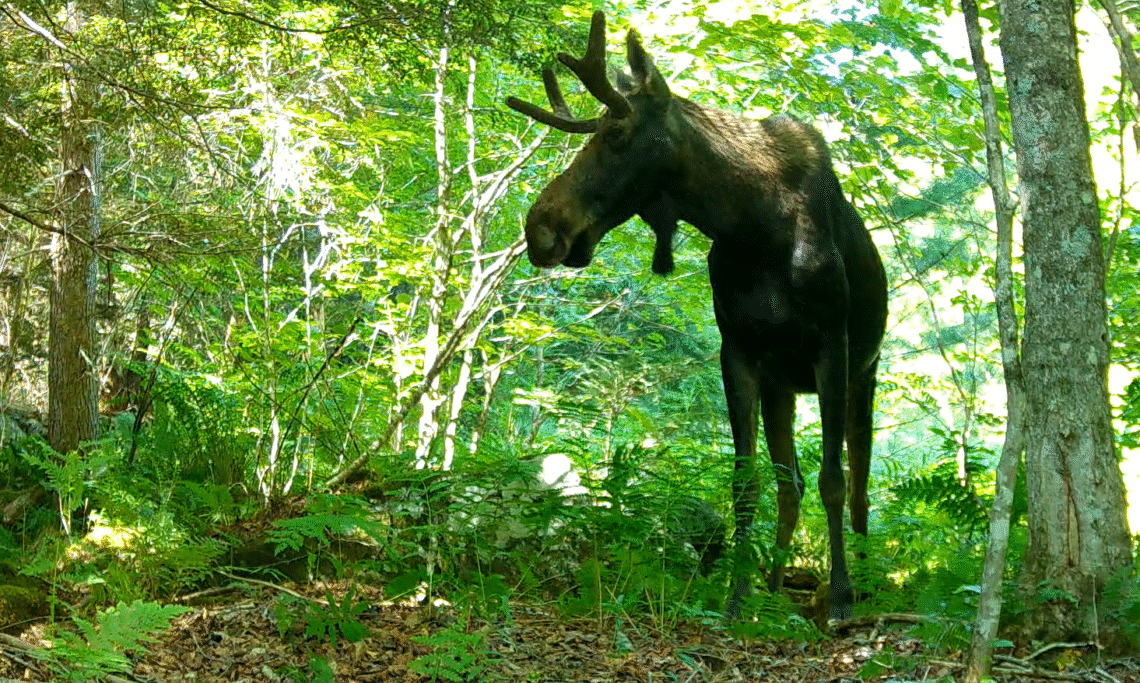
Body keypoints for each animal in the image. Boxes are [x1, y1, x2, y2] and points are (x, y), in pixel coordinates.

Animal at [506, 11, 888, 621]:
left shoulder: (832, 345)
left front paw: (841, 599)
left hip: (866, 372)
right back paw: (774, 584)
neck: (751, 226)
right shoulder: (739, 352)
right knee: (790, 485)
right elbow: (747, 482)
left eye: (615, 135)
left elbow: (834, 477)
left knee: (858, 485)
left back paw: (864, 580)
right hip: (782, 387)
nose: (539, 226)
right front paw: (736, 598)